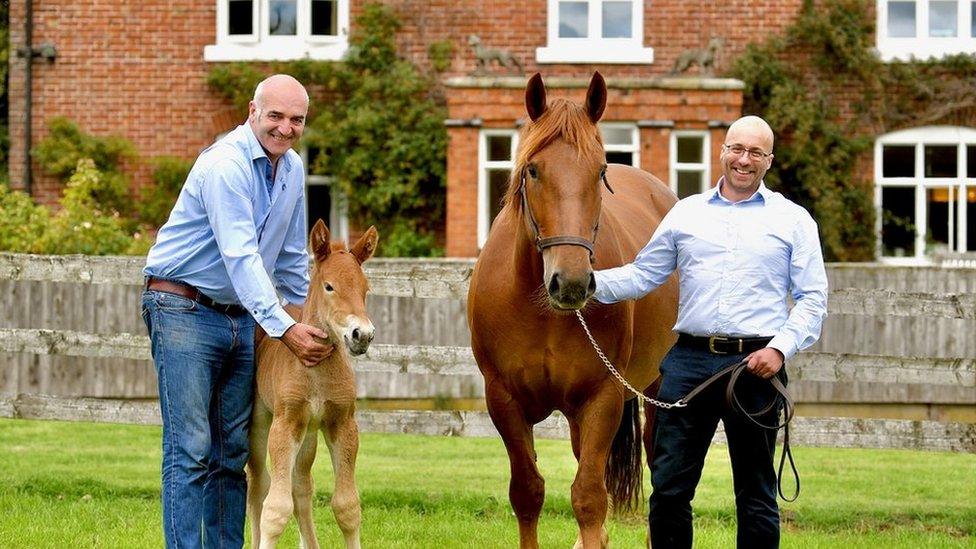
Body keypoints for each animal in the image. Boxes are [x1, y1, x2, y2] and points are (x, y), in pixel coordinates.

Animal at [248, 219, 378, 548]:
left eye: (365, 288)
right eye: (329, 286)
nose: (362, 335)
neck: (316, 370)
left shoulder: (341, 424)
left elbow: (347, 506)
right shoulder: (284, 424)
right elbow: (275, 508)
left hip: (308, 434)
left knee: (301, 487)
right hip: (260, 424)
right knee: (258, 485)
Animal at [468, 74, 680, 548]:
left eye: (599, 171)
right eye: (532, 170)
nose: (572, 282)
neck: (541, 311)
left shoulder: (603, 398)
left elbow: (588, 498)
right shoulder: (503, 400)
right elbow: (527, 492)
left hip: (655, 390)